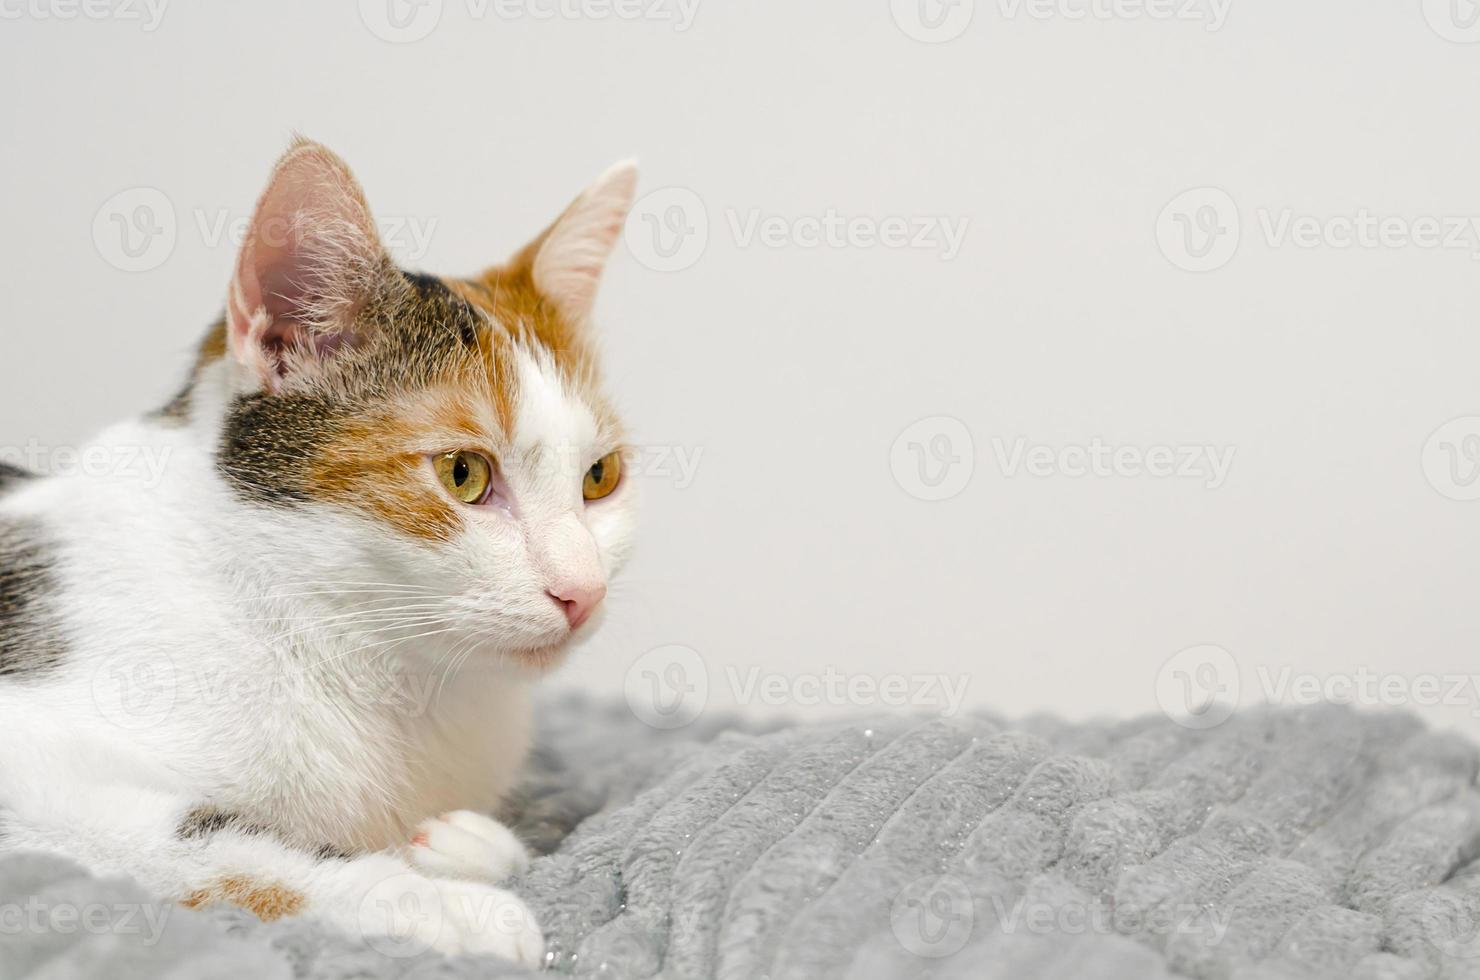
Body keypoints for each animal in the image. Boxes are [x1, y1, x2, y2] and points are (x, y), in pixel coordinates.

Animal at [0, 138, 642, 965]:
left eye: (600, 477)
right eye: (463, 474)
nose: (583, 591)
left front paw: (461, 845)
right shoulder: (37, 776)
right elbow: (210, 845)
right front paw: (432, 904)